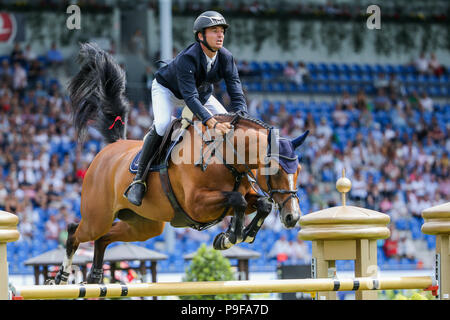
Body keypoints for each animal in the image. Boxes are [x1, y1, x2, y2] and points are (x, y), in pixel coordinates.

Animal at [52, 43, 310, 284]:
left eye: (298, 170)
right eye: (275, 171)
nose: (293, 217)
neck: (227, 159)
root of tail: (110, 149)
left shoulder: (245, 197)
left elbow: (262, 204)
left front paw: (237, 235)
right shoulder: (197, 204)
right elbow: (236, 200)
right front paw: (229, 237)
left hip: (143, 225)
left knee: (104, 237)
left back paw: (94, 277)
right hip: (98, 216)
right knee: (75, 231)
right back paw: (61, 277)